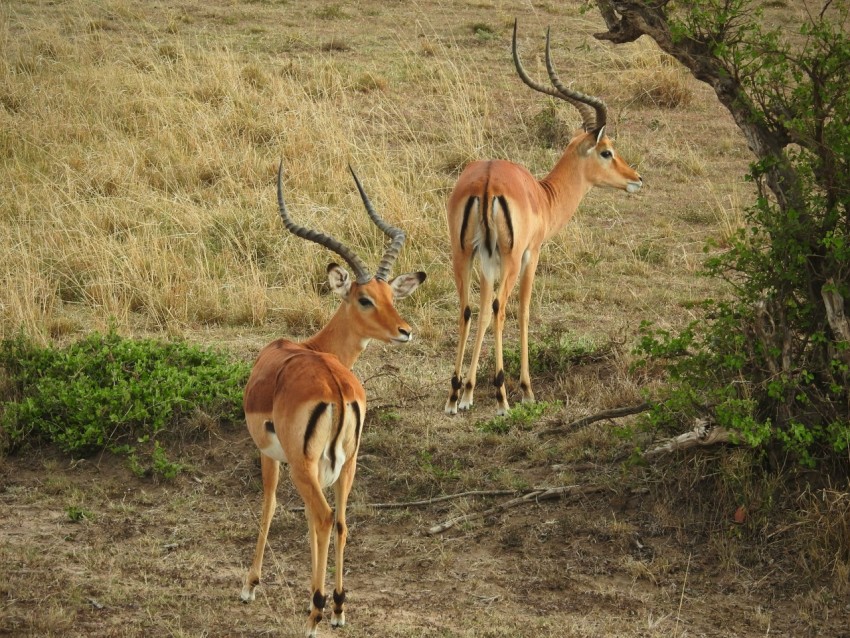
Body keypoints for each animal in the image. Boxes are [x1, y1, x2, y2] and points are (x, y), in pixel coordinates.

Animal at [238, 162, 424, 636]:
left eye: (390, 296)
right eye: (367, 298)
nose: (405, 331)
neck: (310, 348)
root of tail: (337, 387)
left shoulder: (272, 456)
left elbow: (268, 508)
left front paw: (249, 586)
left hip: (304, 465)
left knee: (323, 518)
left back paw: (315, 614)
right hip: (349, 464)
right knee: (338, 522)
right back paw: (338, 607)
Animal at [444, 20, 644, 418]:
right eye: (606, 151)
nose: (636, 178)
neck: (543, 195)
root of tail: (486, 181)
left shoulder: (487, 262)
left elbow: (482, 312)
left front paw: (469, 393)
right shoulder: (530, 255)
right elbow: (522, 310)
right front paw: (525, 390)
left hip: (463, 255)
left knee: (467, 310)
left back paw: (453, 396)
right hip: (507, 258)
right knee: (502, 309)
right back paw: (503, 397)